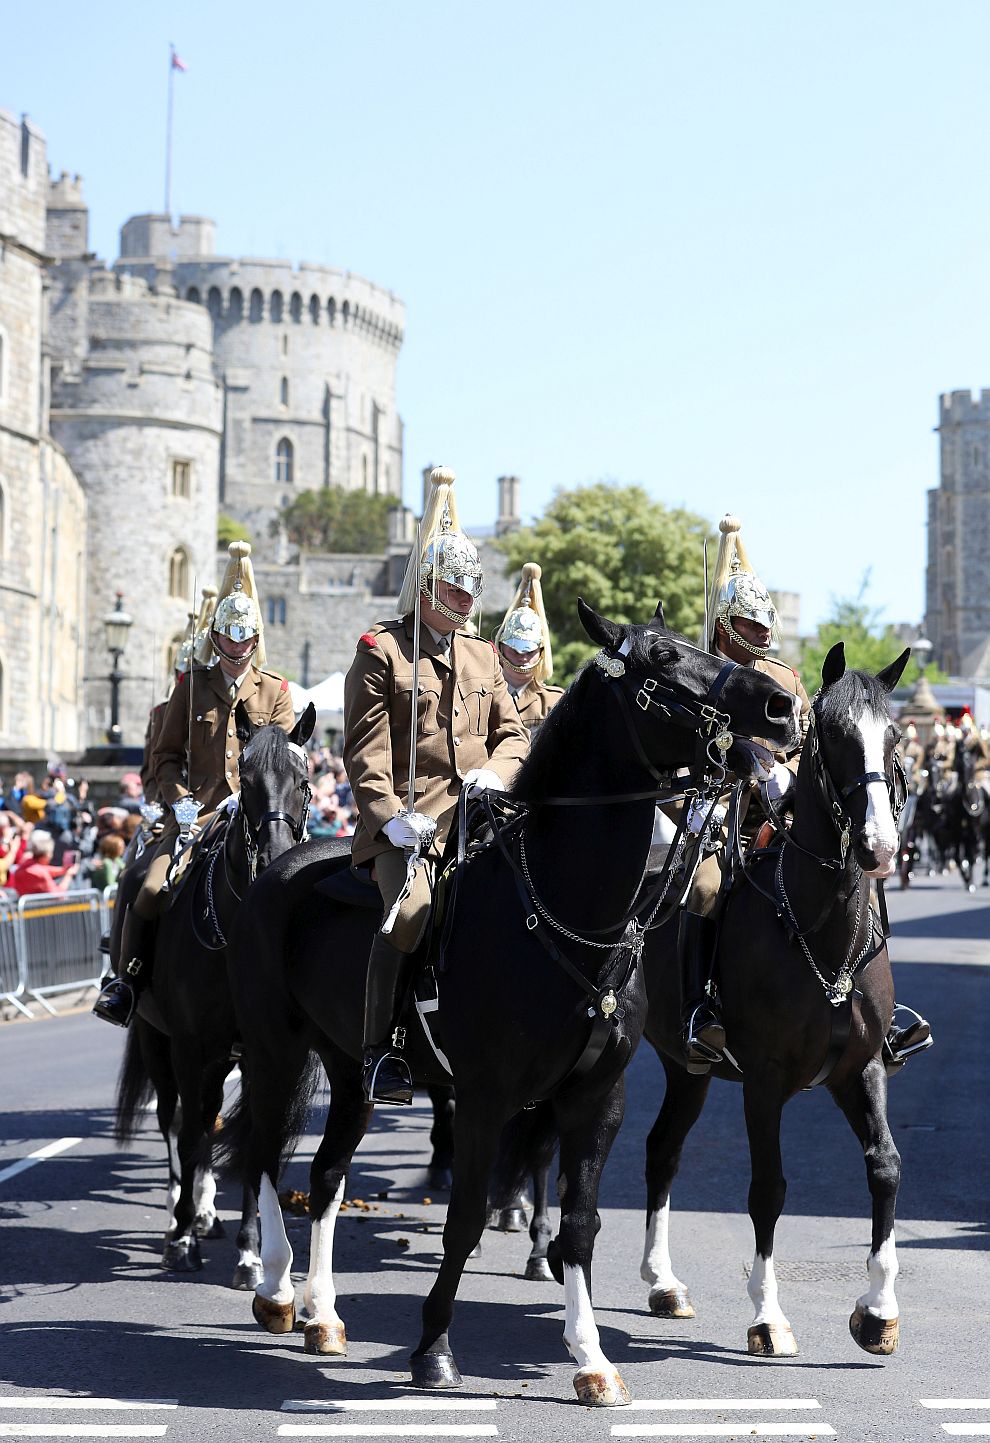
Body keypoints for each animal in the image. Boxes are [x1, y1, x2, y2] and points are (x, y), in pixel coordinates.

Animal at [116, 704, 317, 1281]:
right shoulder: (188, 1046)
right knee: (178, 1120)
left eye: (303, 782)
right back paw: (181, 1215)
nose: (275, 859)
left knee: (206, 1119)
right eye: (245, 782)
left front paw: (251, 1253)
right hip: (157, 1040)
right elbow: (189, 1135)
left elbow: (254, 1143)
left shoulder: (261, 1052)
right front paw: (182, 1240)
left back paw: (206, 1212)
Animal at [216, 603, 796, 1402]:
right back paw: (275, 1287)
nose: (779, 705)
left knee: (326, 1174)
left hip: (350, 1071)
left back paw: (323, 1313)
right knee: (268, 1160)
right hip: (275, 1052)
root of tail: (279, 868)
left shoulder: (596, 1098)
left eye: (699, 646)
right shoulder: (486, 1097)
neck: (570, 912)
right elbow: (463, 1219)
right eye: (658, 661)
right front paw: (433, 1346)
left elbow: (581, 1225)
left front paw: (591, 1358)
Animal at [634, 649, 917, 1356]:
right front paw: (768, 1316)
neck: (820, 931)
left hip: (687, 1069)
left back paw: (663, 1283)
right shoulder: (763, 1082)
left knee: (662, 1150)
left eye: (895, 738)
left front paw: (878, 1310)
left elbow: (885, 1167)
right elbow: (768, 1188)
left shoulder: (860, 1070)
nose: (878, 847)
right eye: (833, 736)